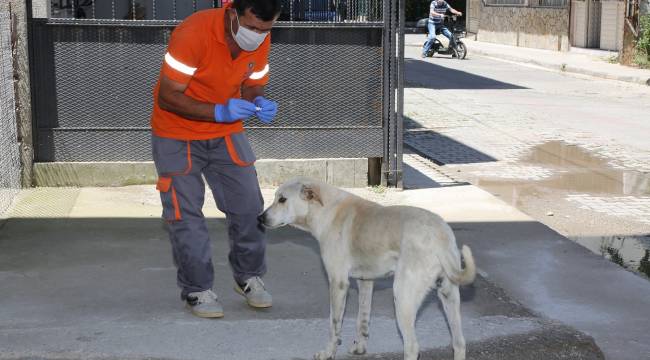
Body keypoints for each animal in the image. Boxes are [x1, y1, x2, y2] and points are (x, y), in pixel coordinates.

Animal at [258, 178, 476, 360]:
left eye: (282, 199)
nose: (260, 218)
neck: (327, 210)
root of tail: (440, 234)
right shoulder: (366, 282)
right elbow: (362, 320)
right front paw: (360, 349)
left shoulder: (338, 284)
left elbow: (334, 324)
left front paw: (328, 353)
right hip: (449, 296)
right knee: (459, 342)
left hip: (403, 298)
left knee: (412, 346)